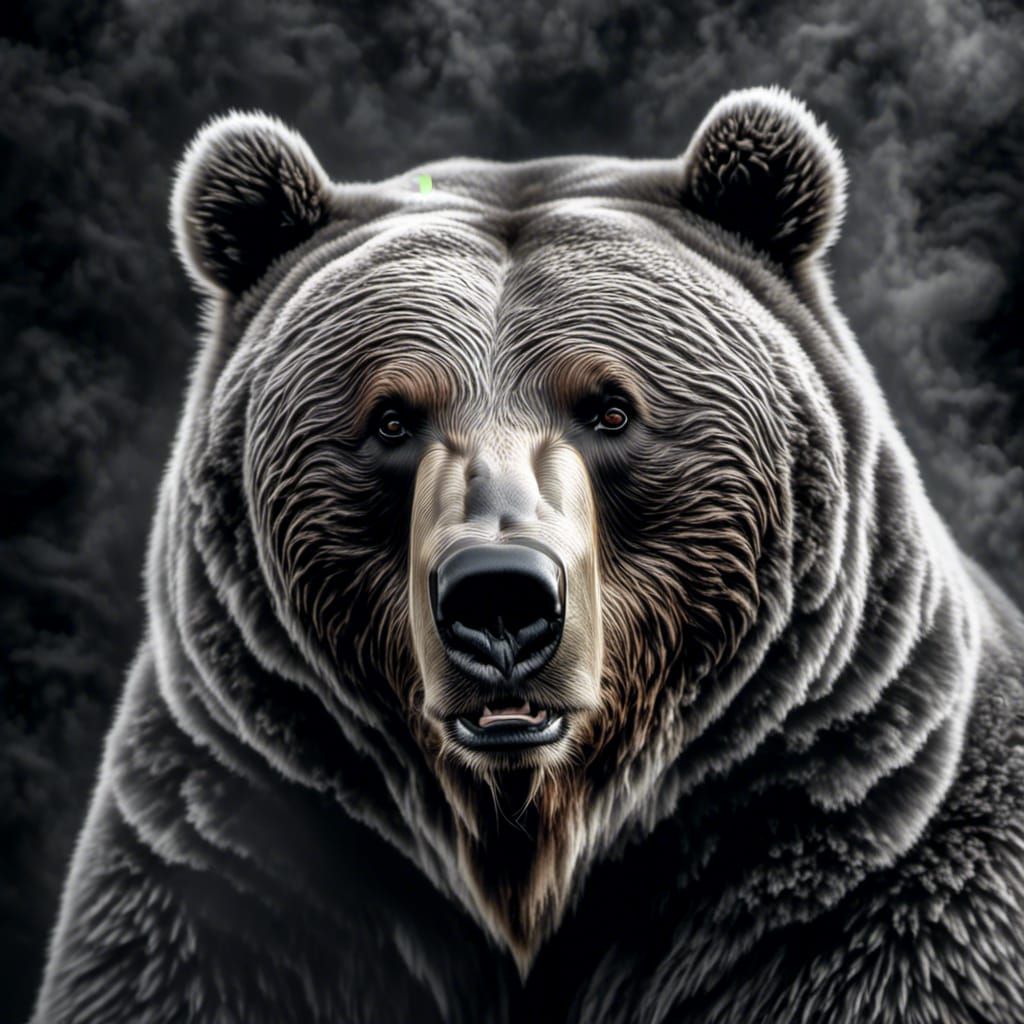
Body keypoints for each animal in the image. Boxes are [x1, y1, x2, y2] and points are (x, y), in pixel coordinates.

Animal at [32, 87, 1024, 1023]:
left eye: (611, 409)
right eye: (390, 418)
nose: (500, 600)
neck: (528, 850)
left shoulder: (854, 873)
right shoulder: (239, 874)